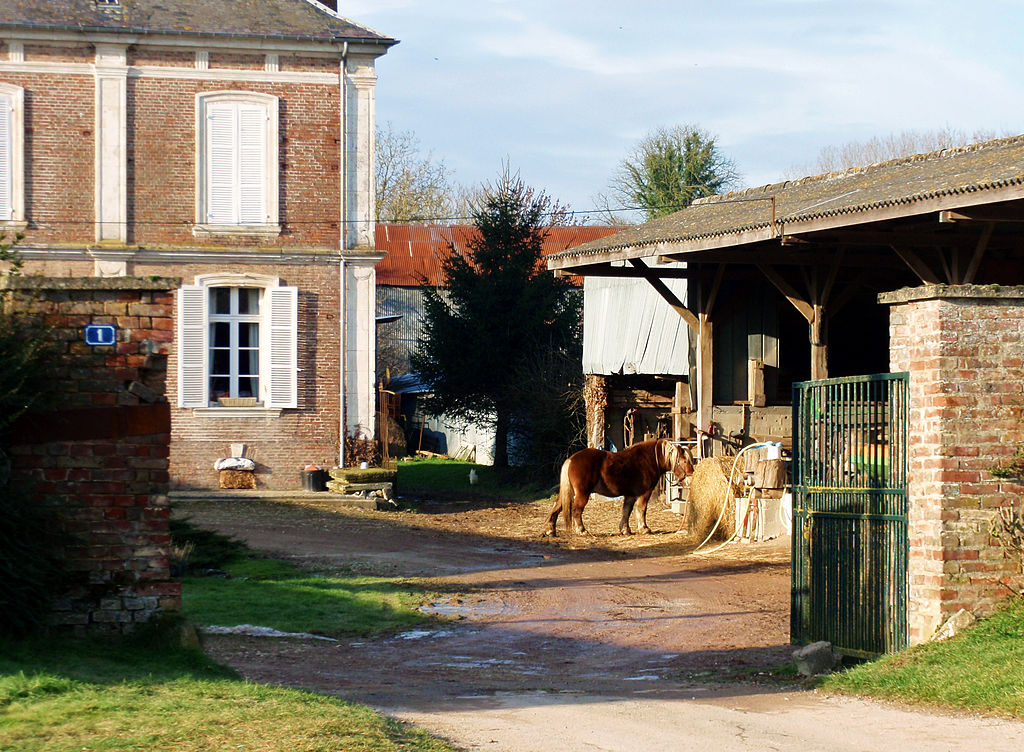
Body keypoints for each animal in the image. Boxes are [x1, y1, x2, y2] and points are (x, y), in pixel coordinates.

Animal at [544, 438, 696, 540]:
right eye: (684, 461)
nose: (690, 479)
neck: (650, 460)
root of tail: (570, 460)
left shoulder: (630, 495)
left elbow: (626, 511)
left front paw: (625, 530)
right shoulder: (644, 493)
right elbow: (641, 509)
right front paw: (644, 528)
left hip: (569, 492)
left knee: (557, 507)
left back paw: (550, 530)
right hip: (582, 494)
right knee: (576, 510)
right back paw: (581, 530)